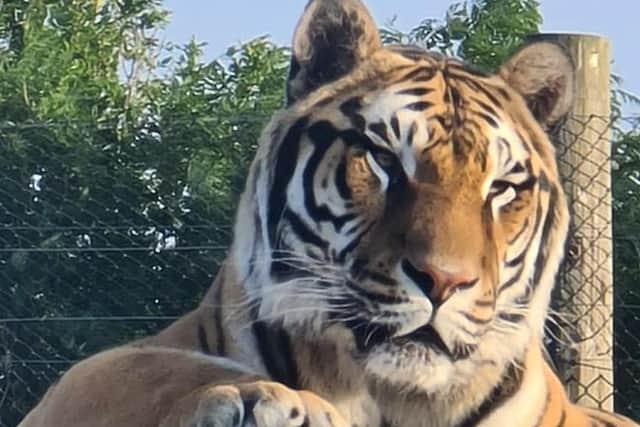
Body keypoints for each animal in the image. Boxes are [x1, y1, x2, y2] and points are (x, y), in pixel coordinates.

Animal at [18, 1, 639, 427]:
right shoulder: (72, 387)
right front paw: (264, 398)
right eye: (384, 159)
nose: (445, 281)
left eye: (502, 188)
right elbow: (145, 369)